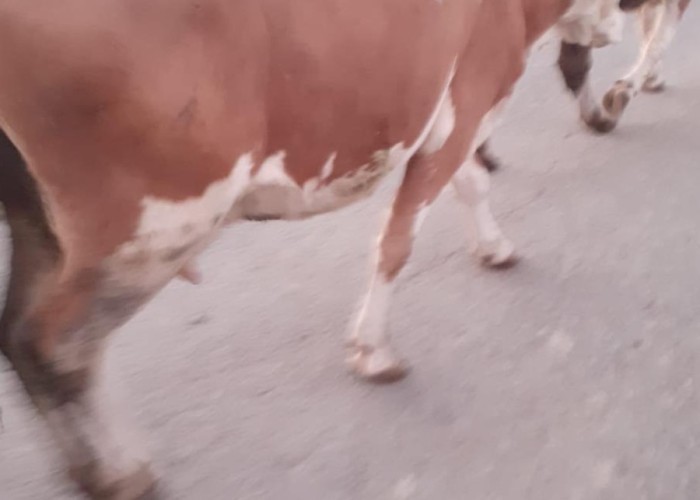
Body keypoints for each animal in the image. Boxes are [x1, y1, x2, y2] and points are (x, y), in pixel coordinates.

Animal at [0, 1, 629, 498]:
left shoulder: (456, 115)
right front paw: (372, 350)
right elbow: (399, 238)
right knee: (58, 343)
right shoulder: (469, 98)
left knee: (24, 337)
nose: (616, 30)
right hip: (157, 221)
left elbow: (471, 183)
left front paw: (494, 247)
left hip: (47, 224)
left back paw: (99, 470)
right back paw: (118, 471)